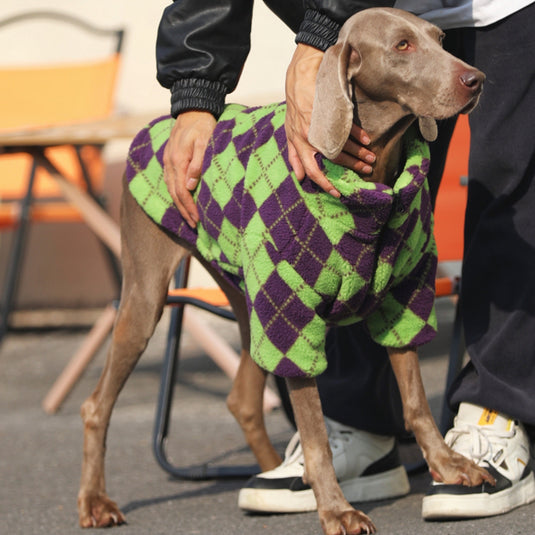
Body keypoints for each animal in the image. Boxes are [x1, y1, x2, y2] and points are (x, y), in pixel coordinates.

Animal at [78, 7, 494, 532]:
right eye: (402, 45)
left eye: (440, 39)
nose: (476, 80)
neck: (370, 184)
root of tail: (157, 126)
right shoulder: (291, 316)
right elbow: (315, 434)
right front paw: (336, 509)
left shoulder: (404, 298)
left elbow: (417, 402)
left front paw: (447, 465)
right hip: (148, 295)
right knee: (96, 404)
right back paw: (95, 502)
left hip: (249, 303)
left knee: (240, 399)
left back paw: (273, 474)